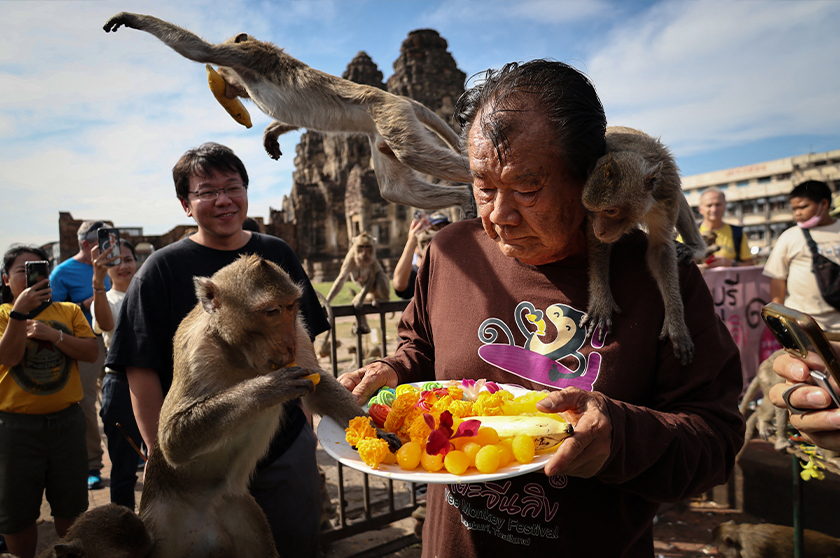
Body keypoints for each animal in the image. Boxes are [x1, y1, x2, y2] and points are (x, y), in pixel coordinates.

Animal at [103, 12, 473, 211]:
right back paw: (463, 199)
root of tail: (400, 98)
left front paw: (130, 19)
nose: (229, 89)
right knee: (395, 190)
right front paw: (272, 133)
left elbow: (198, 49)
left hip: (390, 114)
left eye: (227, 77)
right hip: (381, 133)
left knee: (412, 154)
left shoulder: (244, 55)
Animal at [579, 126, 706, 366]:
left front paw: (675, 321)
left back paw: (695, 247)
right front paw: (601, 301)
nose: (600, 229)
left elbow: (660, 250)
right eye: (593, 210)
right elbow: (597, 244)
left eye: (611, 211)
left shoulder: (667, 194)